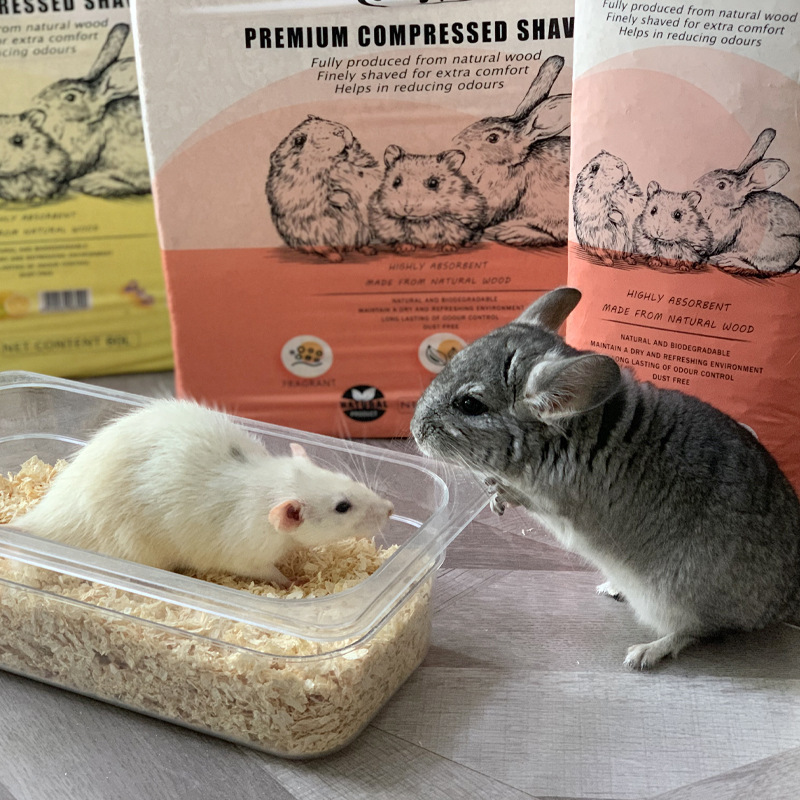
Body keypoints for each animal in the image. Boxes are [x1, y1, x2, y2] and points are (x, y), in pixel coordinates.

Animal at [15, 400, 394, 587]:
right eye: (342, 507)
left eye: (342, 478)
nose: (390, 508)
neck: (270, 483)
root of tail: (53, 513)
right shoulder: (247, 551)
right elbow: (262, 570)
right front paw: (289, 581)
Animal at [266, 115, 383, 262]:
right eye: (300, 140)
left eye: (321, 119)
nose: (339, 131)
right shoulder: (299, 189)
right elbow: (323, 194)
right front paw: (347, 202)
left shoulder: (367, 169)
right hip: (314, 235)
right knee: (322, 249)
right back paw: (336, 258)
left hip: (364, 231)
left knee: (360, 244)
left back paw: (370, 250)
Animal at [411, 287, 800, 669]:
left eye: (469, 405)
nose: (414, 430)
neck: (568, 430)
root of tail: (785, 601)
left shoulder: (554, 503)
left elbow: (522, 497)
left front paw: (497, 493)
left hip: (675, 600)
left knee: (699, 631)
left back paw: (645, 652)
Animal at [693, 129, 800, 276]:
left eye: (721, 185)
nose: (696, 184)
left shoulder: (729, 228)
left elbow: (714, 243)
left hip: (771, 250)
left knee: (761, 268)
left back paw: (730, 262)